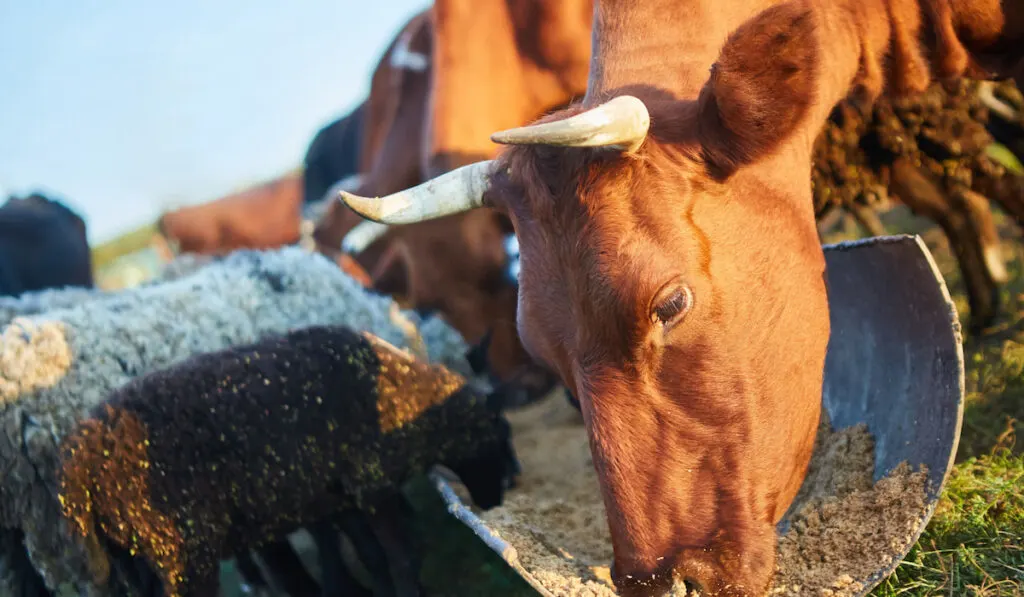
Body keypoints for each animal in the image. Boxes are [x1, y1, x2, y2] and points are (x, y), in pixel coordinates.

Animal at [57, 325, 516, 597]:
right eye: (501, 432)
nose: (500, 496)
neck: (402, 395)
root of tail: (80, 466)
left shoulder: (340, 497)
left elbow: (371, 555)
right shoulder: (372, 484)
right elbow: (399, 556)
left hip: (133, 564)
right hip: (182, 551)